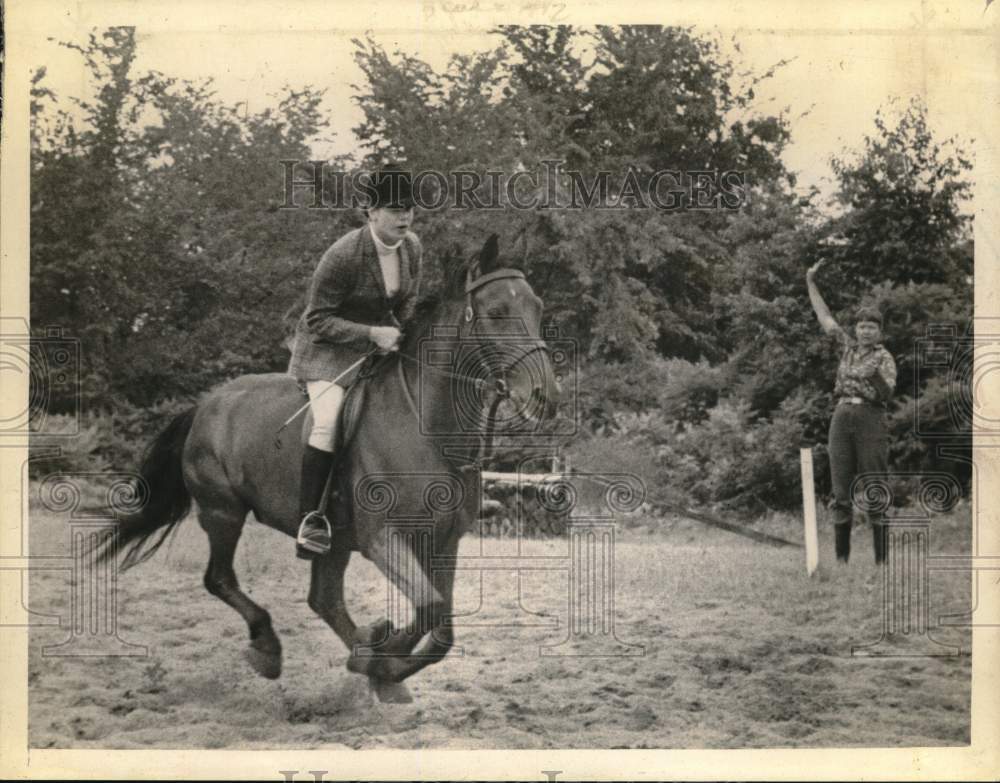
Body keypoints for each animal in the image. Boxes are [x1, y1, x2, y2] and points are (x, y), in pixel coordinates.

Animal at [97, 236, 560, 700]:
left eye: (537, 307)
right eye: (496, 311)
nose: (546, 396)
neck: (426, 429)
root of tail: (205, 405)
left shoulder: (444, 540)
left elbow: (440, 626)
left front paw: (382, 661)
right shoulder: (382, 538)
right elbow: (429, 609)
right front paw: (382, 655)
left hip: (331, 540)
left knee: (323, 598)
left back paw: (365, 657)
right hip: (222, 512)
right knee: (220, 579)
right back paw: (271, 648)